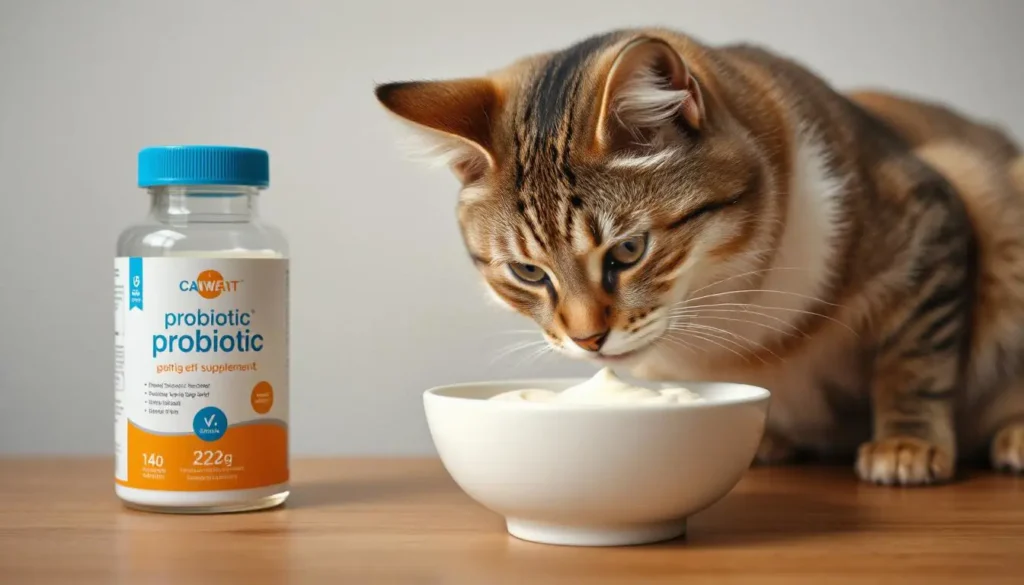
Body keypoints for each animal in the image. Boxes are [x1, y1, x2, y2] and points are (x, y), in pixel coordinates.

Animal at [374, 27, 1024, 485]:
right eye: (528, 271)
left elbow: (915, 355)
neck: (725, 309)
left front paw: (907, 444)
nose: (587, 341)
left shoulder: (930, 213)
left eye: (629, 250)